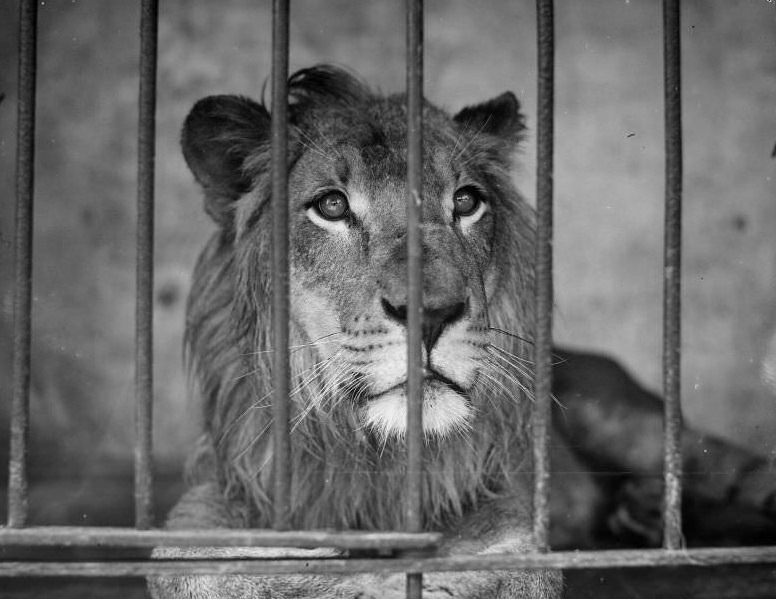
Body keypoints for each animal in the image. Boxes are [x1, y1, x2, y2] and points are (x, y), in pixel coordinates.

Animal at [149, 65, 772, 599]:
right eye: (331, 206)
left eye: (467, 202)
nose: (432, 312)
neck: (375, 455)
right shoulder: (221, 490)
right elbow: (184, 566)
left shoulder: (504, 502)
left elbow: (499, 571)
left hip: (620, 418)